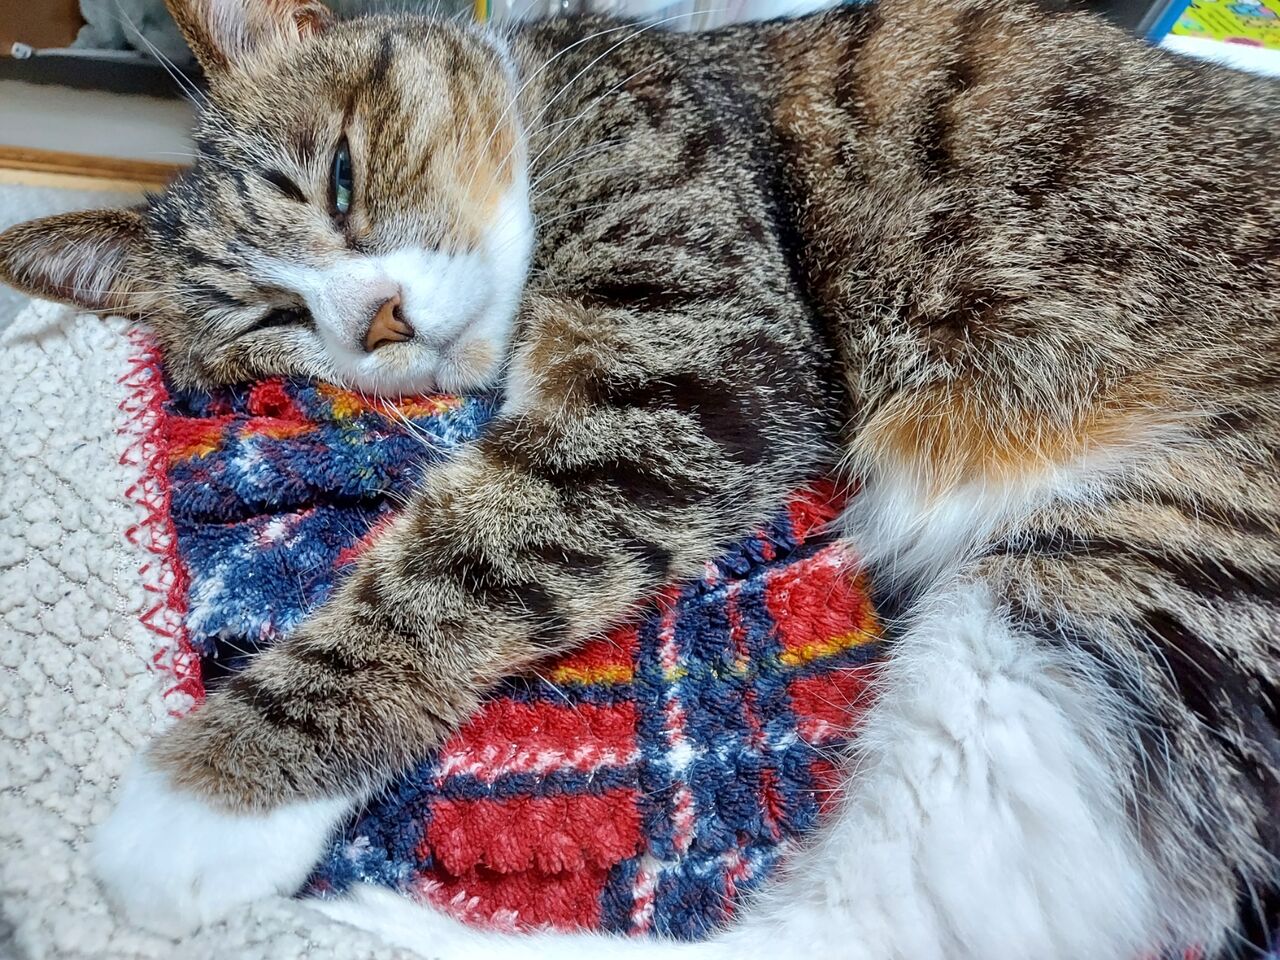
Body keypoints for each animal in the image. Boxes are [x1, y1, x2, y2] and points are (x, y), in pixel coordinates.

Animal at [0, 0, 1277, 955]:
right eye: (269, 319)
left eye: (343, 179)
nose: (378, 323)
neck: (550, 94)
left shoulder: (694, 366)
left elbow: (448, 570)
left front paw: (203, 799)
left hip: (1132, 601)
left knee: (862, 928)